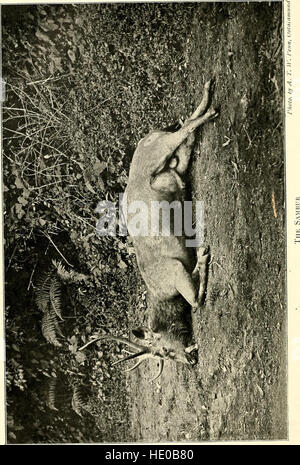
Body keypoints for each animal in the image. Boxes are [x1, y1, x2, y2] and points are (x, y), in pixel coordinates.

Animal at [80, 80, 218, 378]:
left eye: (163, 351)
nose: (189, 359)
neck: (162, 296)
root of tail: (147, 138)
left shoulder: (176, 269)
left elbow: (196, 300)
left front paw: (203, 256)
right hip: (174, 167)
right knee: (186, 137)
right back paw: (204, 100)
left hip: (160, 152)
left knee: (183, 132)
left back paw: (208, 108)